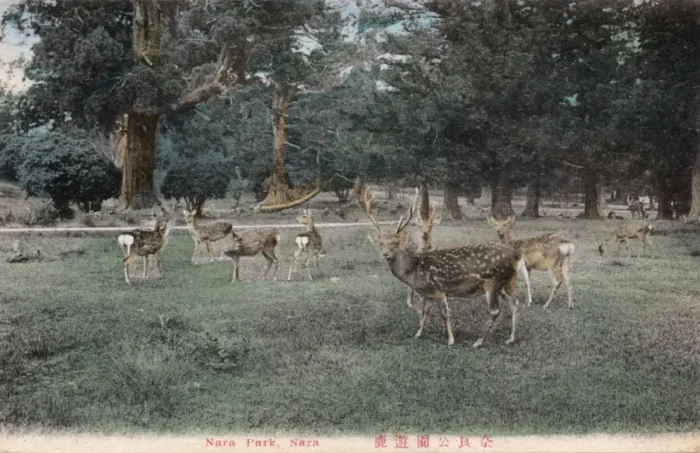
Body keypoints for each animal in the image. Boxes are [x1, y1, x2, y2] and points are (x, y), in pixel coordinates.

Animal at [364, 189, 525, 348]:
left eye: (395, 243)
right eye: (381, 243)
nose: (385, 253)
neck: (414, 271)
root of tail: (516, 255)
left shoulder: (439, 289)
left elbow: (445, 314)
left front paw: (451, 340)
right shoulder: (428, 294)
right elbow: (425, 312)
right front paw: (418, 333)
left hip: (492, 282)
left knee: (495, 310)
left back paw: (478, 341)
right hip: (504, 284)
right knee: (514, 304)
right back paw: (510, 338)